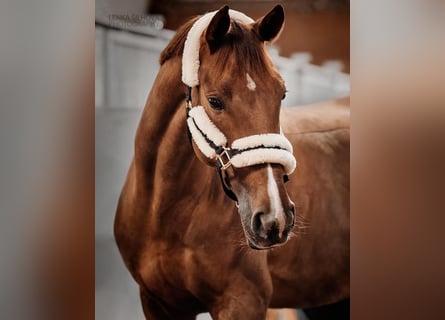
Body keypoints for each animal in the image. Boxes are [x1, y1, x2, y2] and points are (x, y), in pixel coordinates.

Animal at [115, 5, 350, 320]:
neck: (165, 214)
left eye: (281, 93)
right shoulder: (157, 303)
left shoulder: (242, 301)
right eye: (215, 101)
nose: (274, 218)